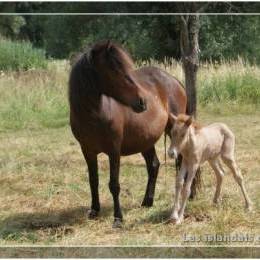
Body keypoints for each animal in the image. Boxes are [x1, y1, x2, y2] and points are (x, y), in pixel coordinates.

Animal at [69, 40, 187, 228]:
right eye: (114, 70)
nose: (142, 101)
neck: (96, 114)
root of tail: (175, 81)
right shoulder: (87, 150)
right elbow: (93, 180)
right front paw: (94, 211)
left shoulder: (114, 150)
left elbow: (114, 184)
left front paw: (118, 218)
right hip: (145, 140)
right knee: (154, 165)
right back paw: (147, 201)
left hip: (174, 131)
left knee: (181, 162)